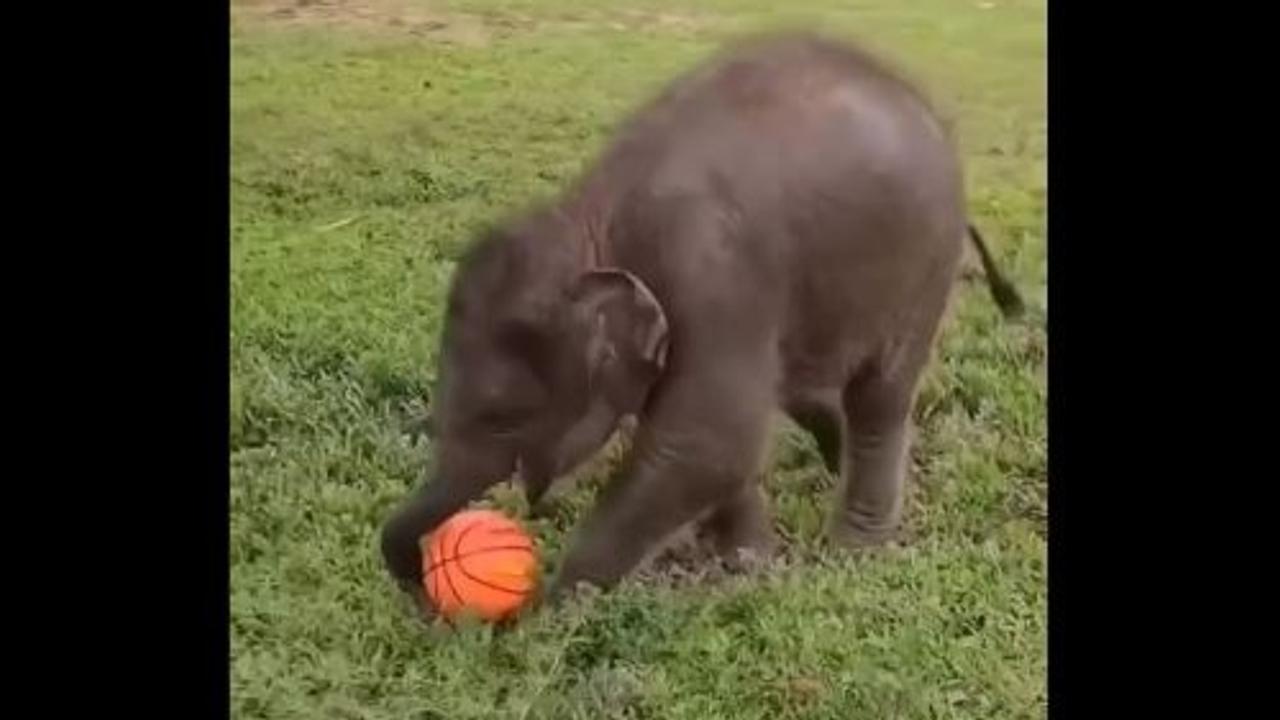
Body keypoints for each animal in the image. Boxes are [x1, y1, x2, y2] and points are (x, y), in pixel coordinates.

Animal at [376, 33, 1018, 602]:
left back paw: (854, 546)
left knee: (880, 396)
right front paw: (744, 560)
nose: (421, 577)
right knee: (802, 387)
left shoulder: (710, 275)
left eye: (504, 415)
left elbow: (707, 442)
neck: (594, 217)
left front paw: (548, 608)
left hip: (923, 267)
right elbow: (714, 447)